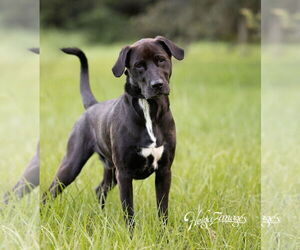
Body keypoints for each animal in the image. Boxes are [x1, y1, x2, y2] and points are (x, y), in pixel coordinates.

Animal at [42, 36, 183, 231]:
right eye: (138, 65)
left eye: (161, 59)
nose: (157, 85)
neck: (148, 110)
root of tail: (92, 106)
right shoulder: (124, 174)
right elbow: (129, 214)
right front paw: (132, 236)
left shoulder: (164, 170)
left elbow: (162, 211)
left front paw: (164, 235)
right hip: (71, 165)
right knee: (49, 193)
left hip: (110, 170)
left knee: (99, 190)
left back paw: (102, 218)